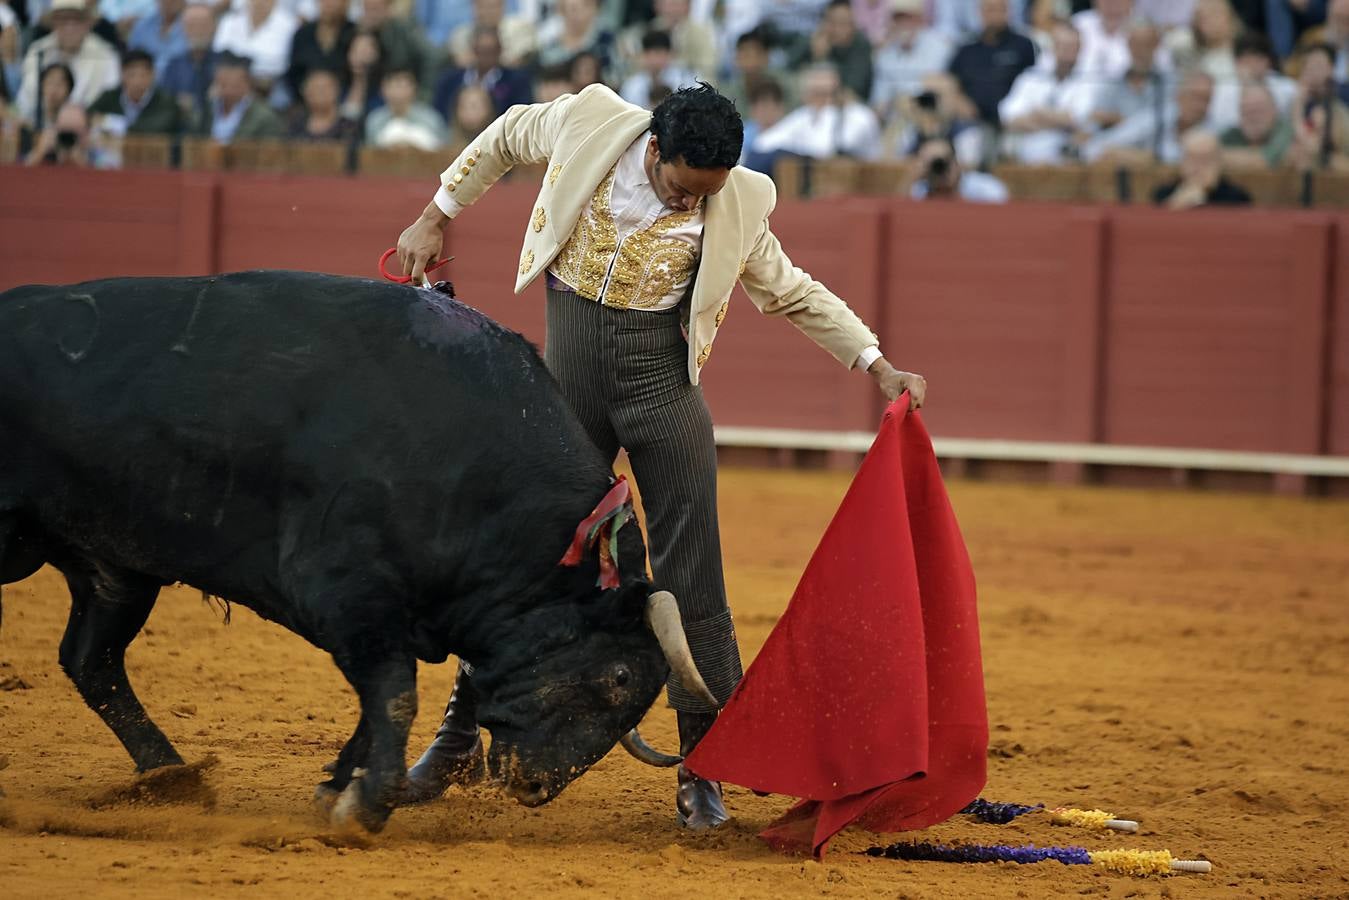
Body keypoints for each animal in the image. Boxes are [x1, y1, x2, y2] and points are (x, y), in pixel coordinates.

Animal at [0, 271, 712, 836]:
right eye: (618, 678)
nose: (534, 788)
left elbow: (379, 703)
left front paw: (339, 787)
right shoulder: (348, 592)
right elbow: (394, 694)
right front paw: (363, 807)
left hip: (114, 569)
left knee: (92, 661)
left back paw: (170, 780)